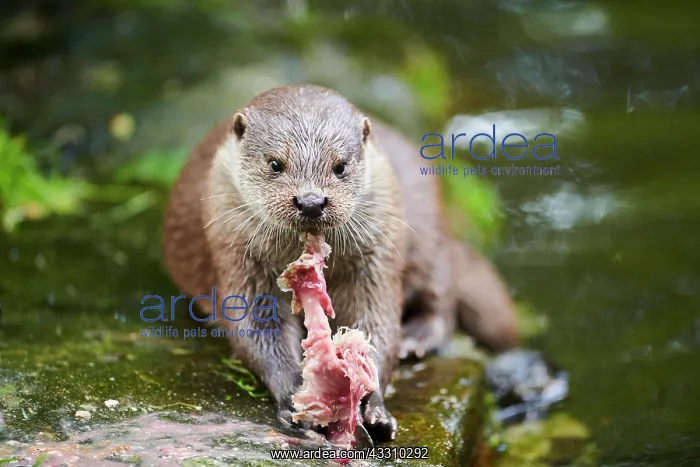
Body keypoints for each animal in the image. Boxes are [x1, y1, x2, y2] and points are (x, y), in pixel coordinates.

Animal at [162, 84, 518, 442]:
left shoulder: (377, 254)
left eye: (341, 166)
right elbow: (257, 329)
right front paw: (296, 400)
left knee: (443, 295)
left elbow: (378, 323)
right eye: (275, 163)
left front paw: (374, 405)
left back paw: (416, 339)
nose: (311, 201)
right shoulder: (238, 253)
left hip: (430, 234)